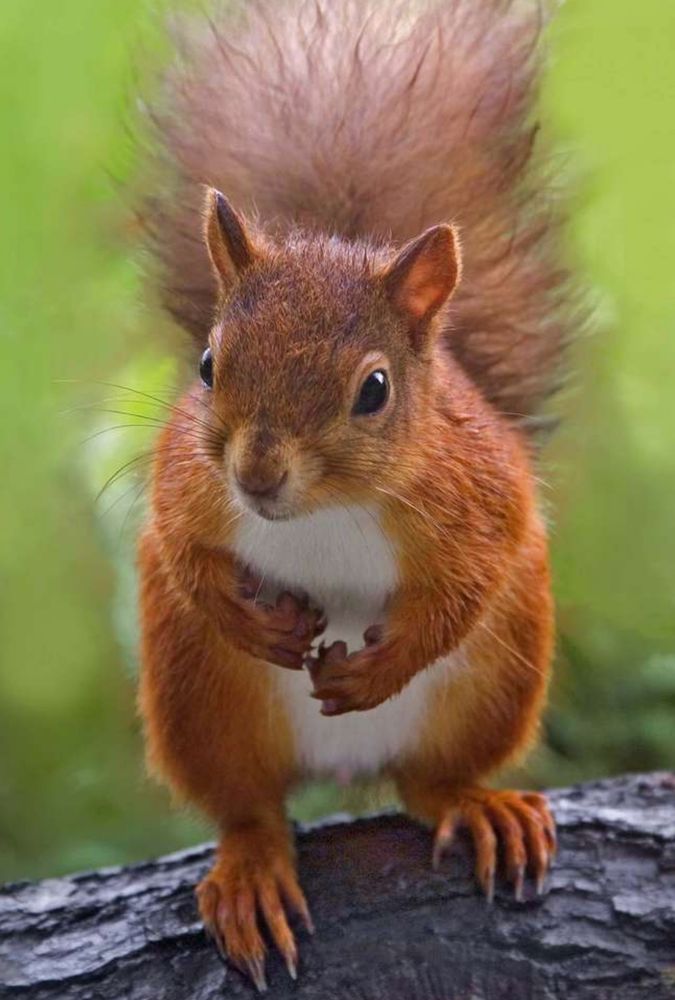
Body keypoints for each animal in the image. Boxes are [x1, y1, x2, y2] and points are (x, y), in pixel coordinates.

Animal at [137, 0, 570, 990]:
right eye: (207, 366)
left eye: (374, 389)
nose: (256, 477)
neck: (323, 512)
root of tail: (346, 764)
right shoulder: (183, 481)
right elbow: (184, 554)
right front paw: (253, 617)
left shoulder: (484, 493)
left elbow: (461, 591)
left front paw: (376, 666)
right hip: (196, 697)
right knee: (248, 808)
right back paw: (250, 872)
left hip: (498, 677)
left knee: (429, 780)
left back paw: (478, 806)